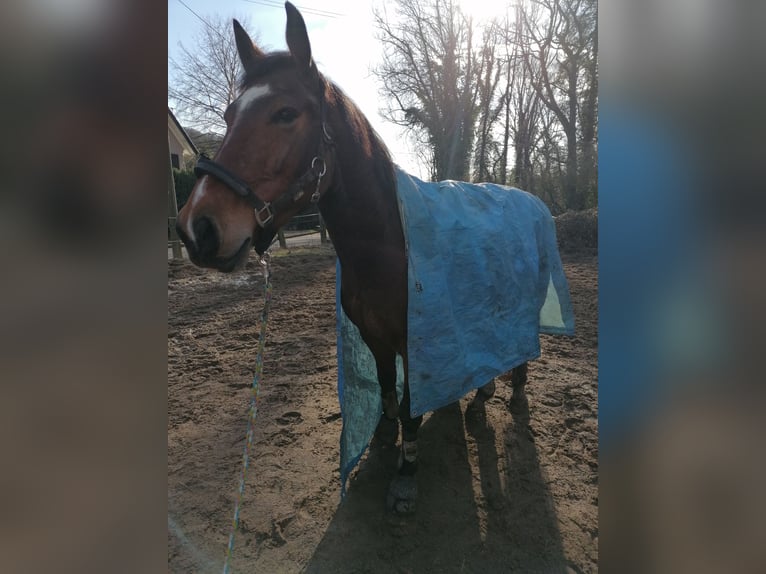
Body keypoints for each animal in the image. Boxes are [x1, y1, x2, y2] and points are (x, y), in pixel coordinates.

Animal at [176, 1, 560, 514]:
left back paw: (515, 393)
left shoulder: (413, 340)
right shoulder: (375, 338)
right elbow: (384, 389)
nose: (197, 228)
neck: (389, 246)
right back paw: (483, 393)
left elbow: (412, 403)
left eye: (285, 113)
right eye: (228, 113)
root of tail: (531, 200)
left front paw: (407, 473)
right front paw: (382, 438)